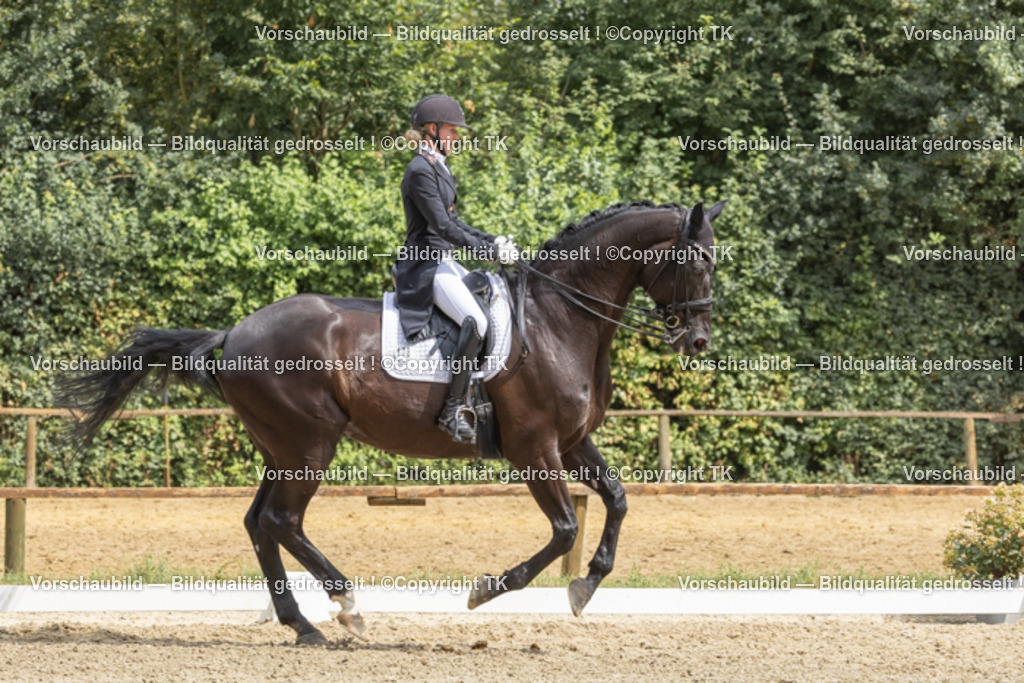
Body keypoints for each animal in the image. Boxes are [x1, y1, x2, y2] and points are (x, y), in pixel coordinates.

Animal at [59, 199, 723, 645]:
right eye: (698, 262)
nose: (698, 340)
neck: (561, 318)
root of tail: (234, 332)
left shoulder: (572, 441)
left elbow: (616, 499)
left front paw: (586, 585)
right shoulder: (535, 448)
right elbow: (563, 528)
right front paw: (487, 590)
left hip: (282, 449)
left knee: (259, 523)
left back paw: (303, 625)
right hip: (310, 444)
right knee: (281, 521)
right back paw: (347, 605)